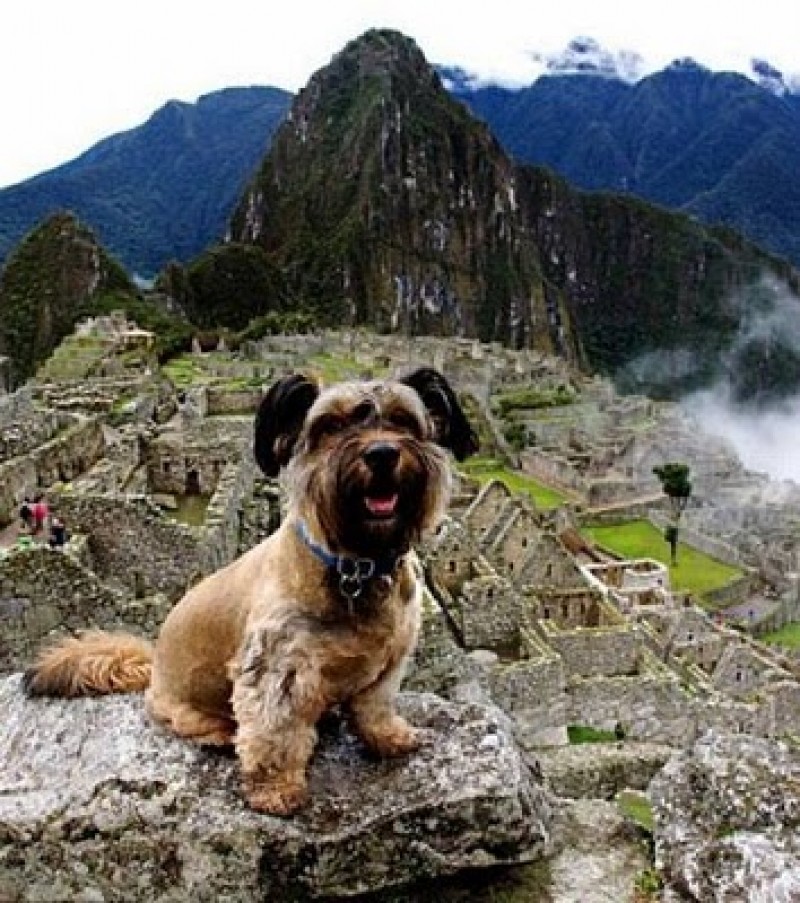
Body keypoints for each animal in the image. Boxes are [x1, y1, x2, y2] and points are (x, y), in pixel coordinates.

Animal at [24, 367, 478, 815]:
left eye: (404, 420)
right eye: (330, 426)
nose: (382, 454)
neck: (356, 565)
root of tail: (152, 669)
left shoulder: (390, 660)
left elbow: (375, 708)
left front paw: (390, 738)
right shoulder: (278, 667)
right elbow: (274, 734)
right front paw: (275, 790)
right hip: (186, 707)